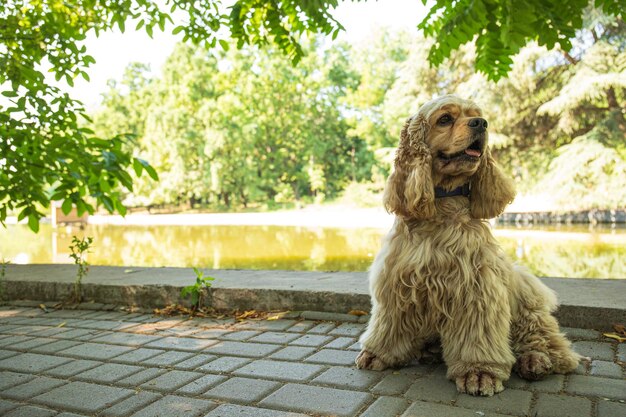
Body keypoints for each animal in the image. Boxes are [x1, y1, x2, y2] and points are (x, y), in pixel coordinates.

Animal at [354, 95, 576, 396]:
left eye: (476, 115)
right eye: (445, 119)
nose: (481, 123)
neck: (442, 203)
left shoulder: (476, 288)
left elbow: (478, 337)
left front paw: (479, 373)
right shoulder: (395, 282)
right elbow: (388, 324)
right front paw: (378, 353)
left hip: (526, 304)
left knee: (550, 343)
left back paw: (536, 361)